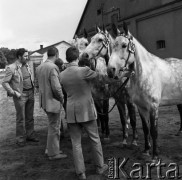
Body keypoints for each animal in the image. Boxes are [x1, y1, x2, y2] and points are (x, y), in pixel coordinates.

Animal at [106, 22, 182, 160]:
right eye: (113, 45)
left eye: (124, 45)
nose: (110, 70)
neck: (146, 73)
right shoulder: (141, 107)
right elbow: (146, 129)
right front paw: (146, 150)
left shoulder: (153, 107)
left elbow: (154, 131)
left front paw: (155, 156)